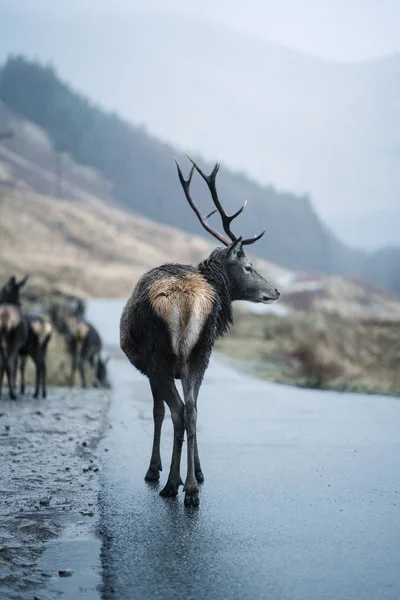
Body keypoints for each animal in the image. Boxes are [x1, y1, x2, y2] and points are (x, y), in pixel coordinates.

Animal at [120, 155, 280, 506]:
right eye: (248, 267)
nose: (276, 291)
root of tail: (187, 297)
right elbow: (186, 410)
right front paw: (198, 473)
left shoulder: (153, 368)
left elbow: (158, 412)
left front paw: (156, 469)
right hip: (197, 353)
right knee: (190, 411)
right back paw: (190, 488)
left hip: (160, 356)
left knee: (179, 411)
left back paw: (172, 484)